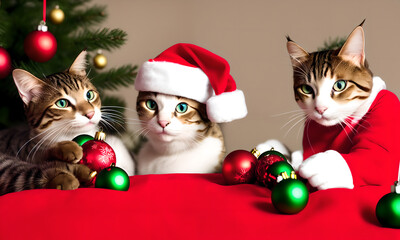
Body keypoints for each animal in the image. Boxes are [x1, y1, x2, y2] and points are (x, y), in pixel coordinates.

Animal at [260, 21, 400, 190]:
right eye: (306, 89)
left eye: (340, 85)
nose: (320, 108)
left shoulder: (387, 107)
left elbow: (375, 157)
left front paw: (318, 167)